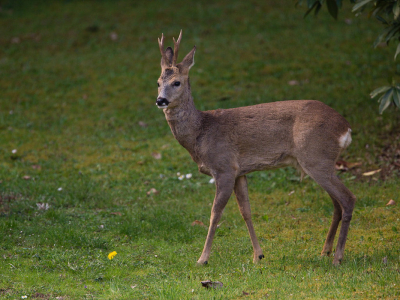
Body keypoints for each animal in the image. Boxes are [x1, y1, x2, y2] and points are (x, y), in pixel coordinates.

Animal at [155, 30, 356, 264]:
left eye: (177, 82)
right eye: (158, 82)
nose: (160, 100)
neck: (201, 133)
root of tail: (345, 128)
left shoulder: (224, 167)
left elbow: (215, 213)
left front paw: (202, 258)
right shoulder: (240, 172)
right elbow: (246, 211)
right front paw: (258, 255)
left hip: (316, 157)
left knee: (348, 199)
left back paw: (338, 257)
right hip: (321, 161)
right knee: (337, 204)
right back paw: (325, 250)